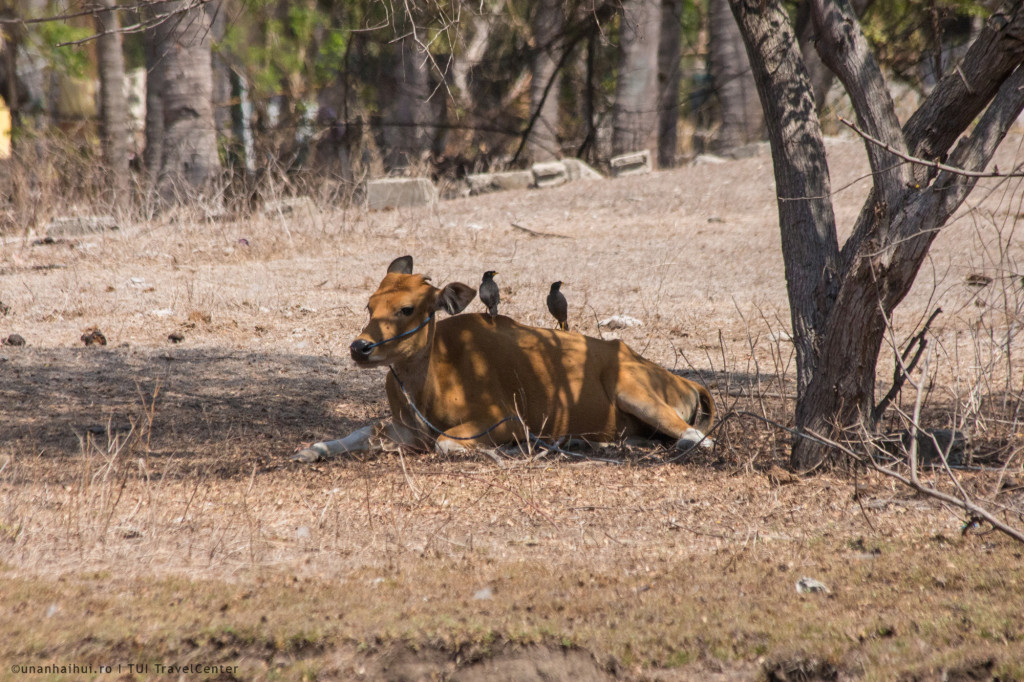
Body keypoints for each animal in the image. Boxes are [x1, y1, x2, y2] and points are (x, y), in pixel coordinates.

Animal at [292, 256, 716, 462]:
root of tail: (684, 380)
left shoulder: (506, 419)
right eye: (370, 306)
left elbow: (446, 443)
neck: (436, 378)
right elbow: (359, 433)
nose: (360, 348)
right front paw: (311, 451)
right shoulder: (405, 428)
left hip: (635, 391)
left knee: (698, 438)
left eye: (407, 309)